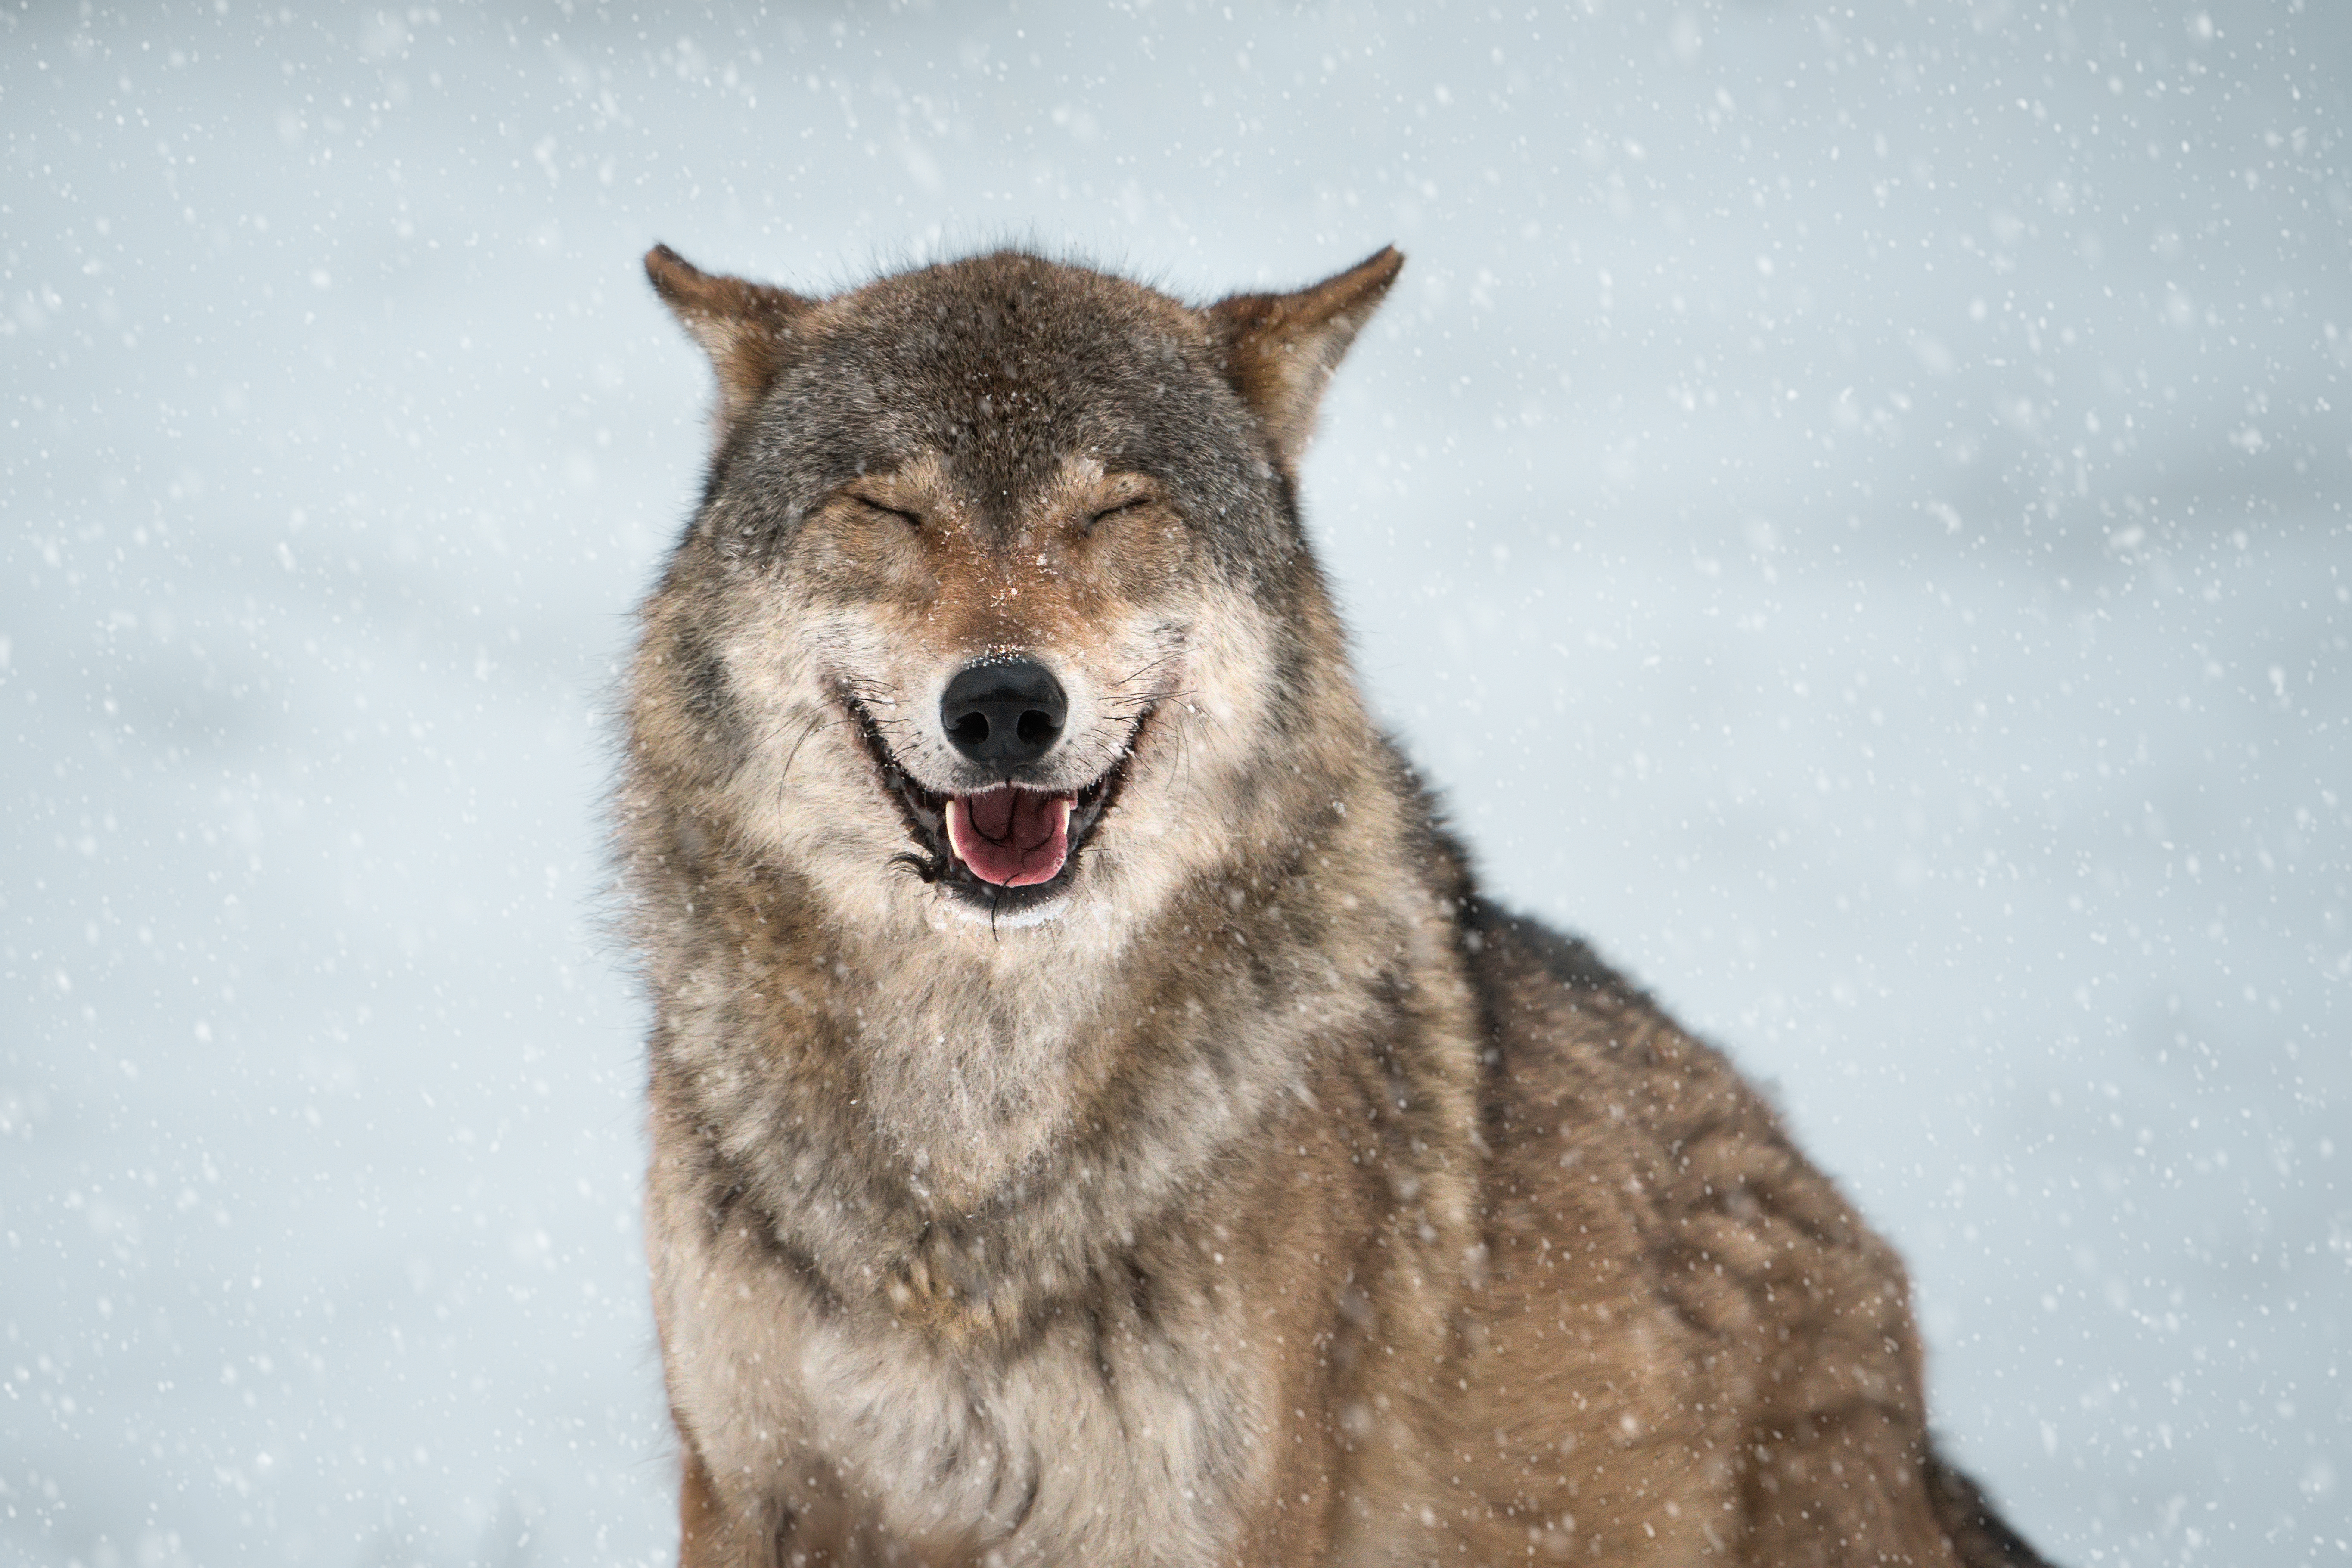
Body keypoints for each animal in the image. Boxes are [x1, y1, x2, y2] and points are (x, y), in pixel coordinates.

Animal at [619, 240, 2054, 1568]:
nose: (1007, 703)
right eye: (889, 507)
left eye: (1116, 510)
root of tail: (1919, 1426)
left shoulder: (1204, 1517)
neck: (970, 1175)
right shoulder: (749, 1488)